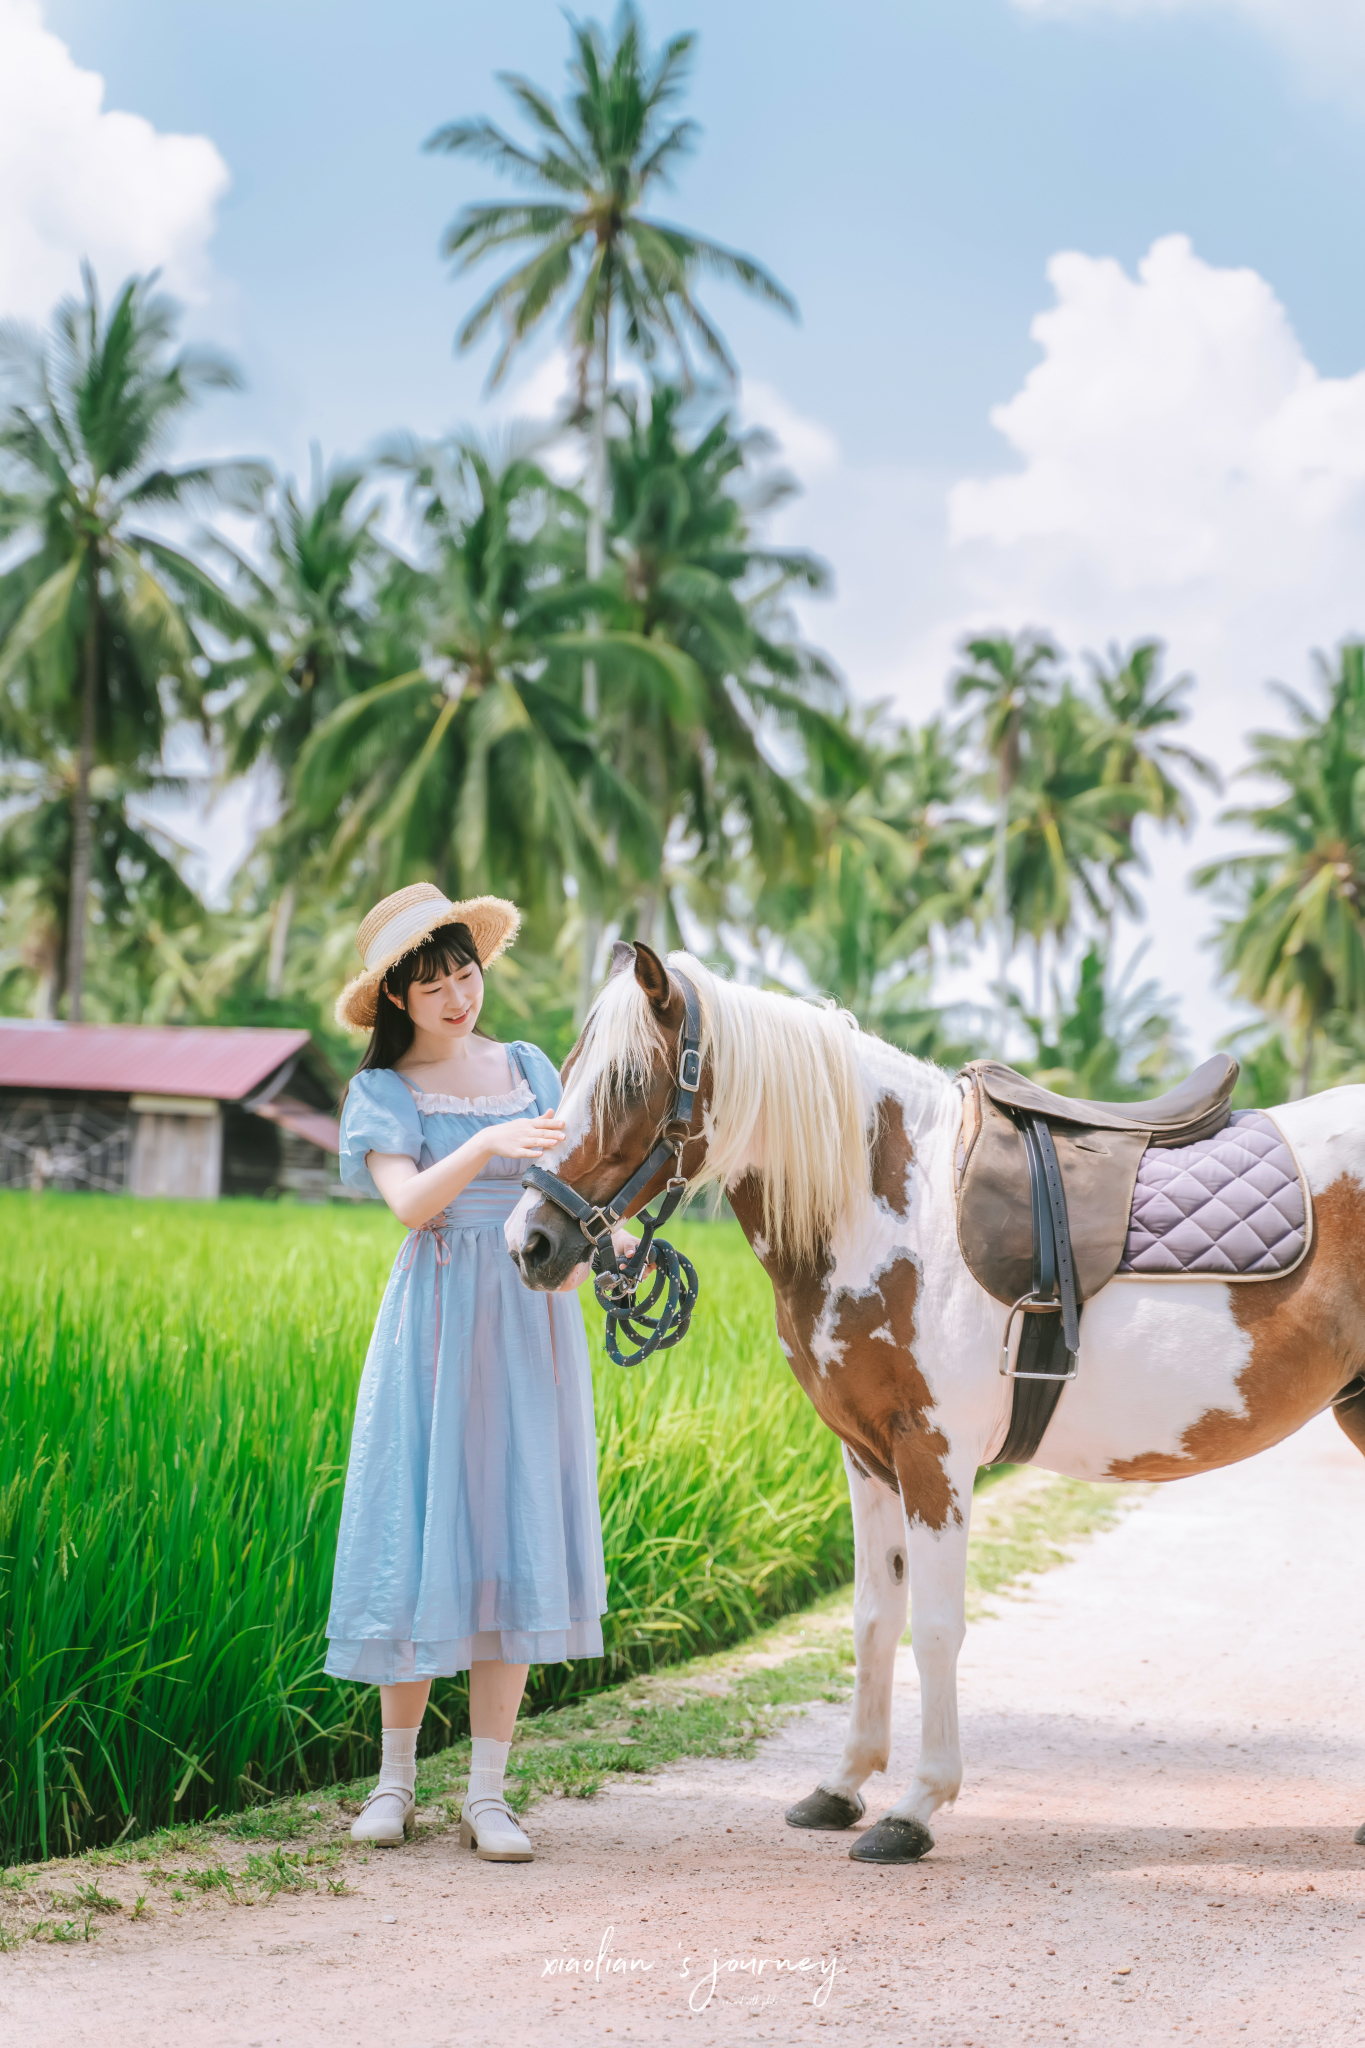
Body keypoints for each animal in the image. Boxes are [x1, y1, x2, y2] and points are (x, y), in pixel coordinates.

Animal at [507, 937, 1365, 1867]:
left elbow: (936, 1627)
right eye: (567, 1071)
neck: (892, 1209)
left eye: (629, 1081)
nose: (529, 1242)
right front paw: (842, 1786)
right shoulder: (865, 1457)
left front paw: (914, 1808)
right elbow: (872, 1617)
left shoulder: (934, 1457)